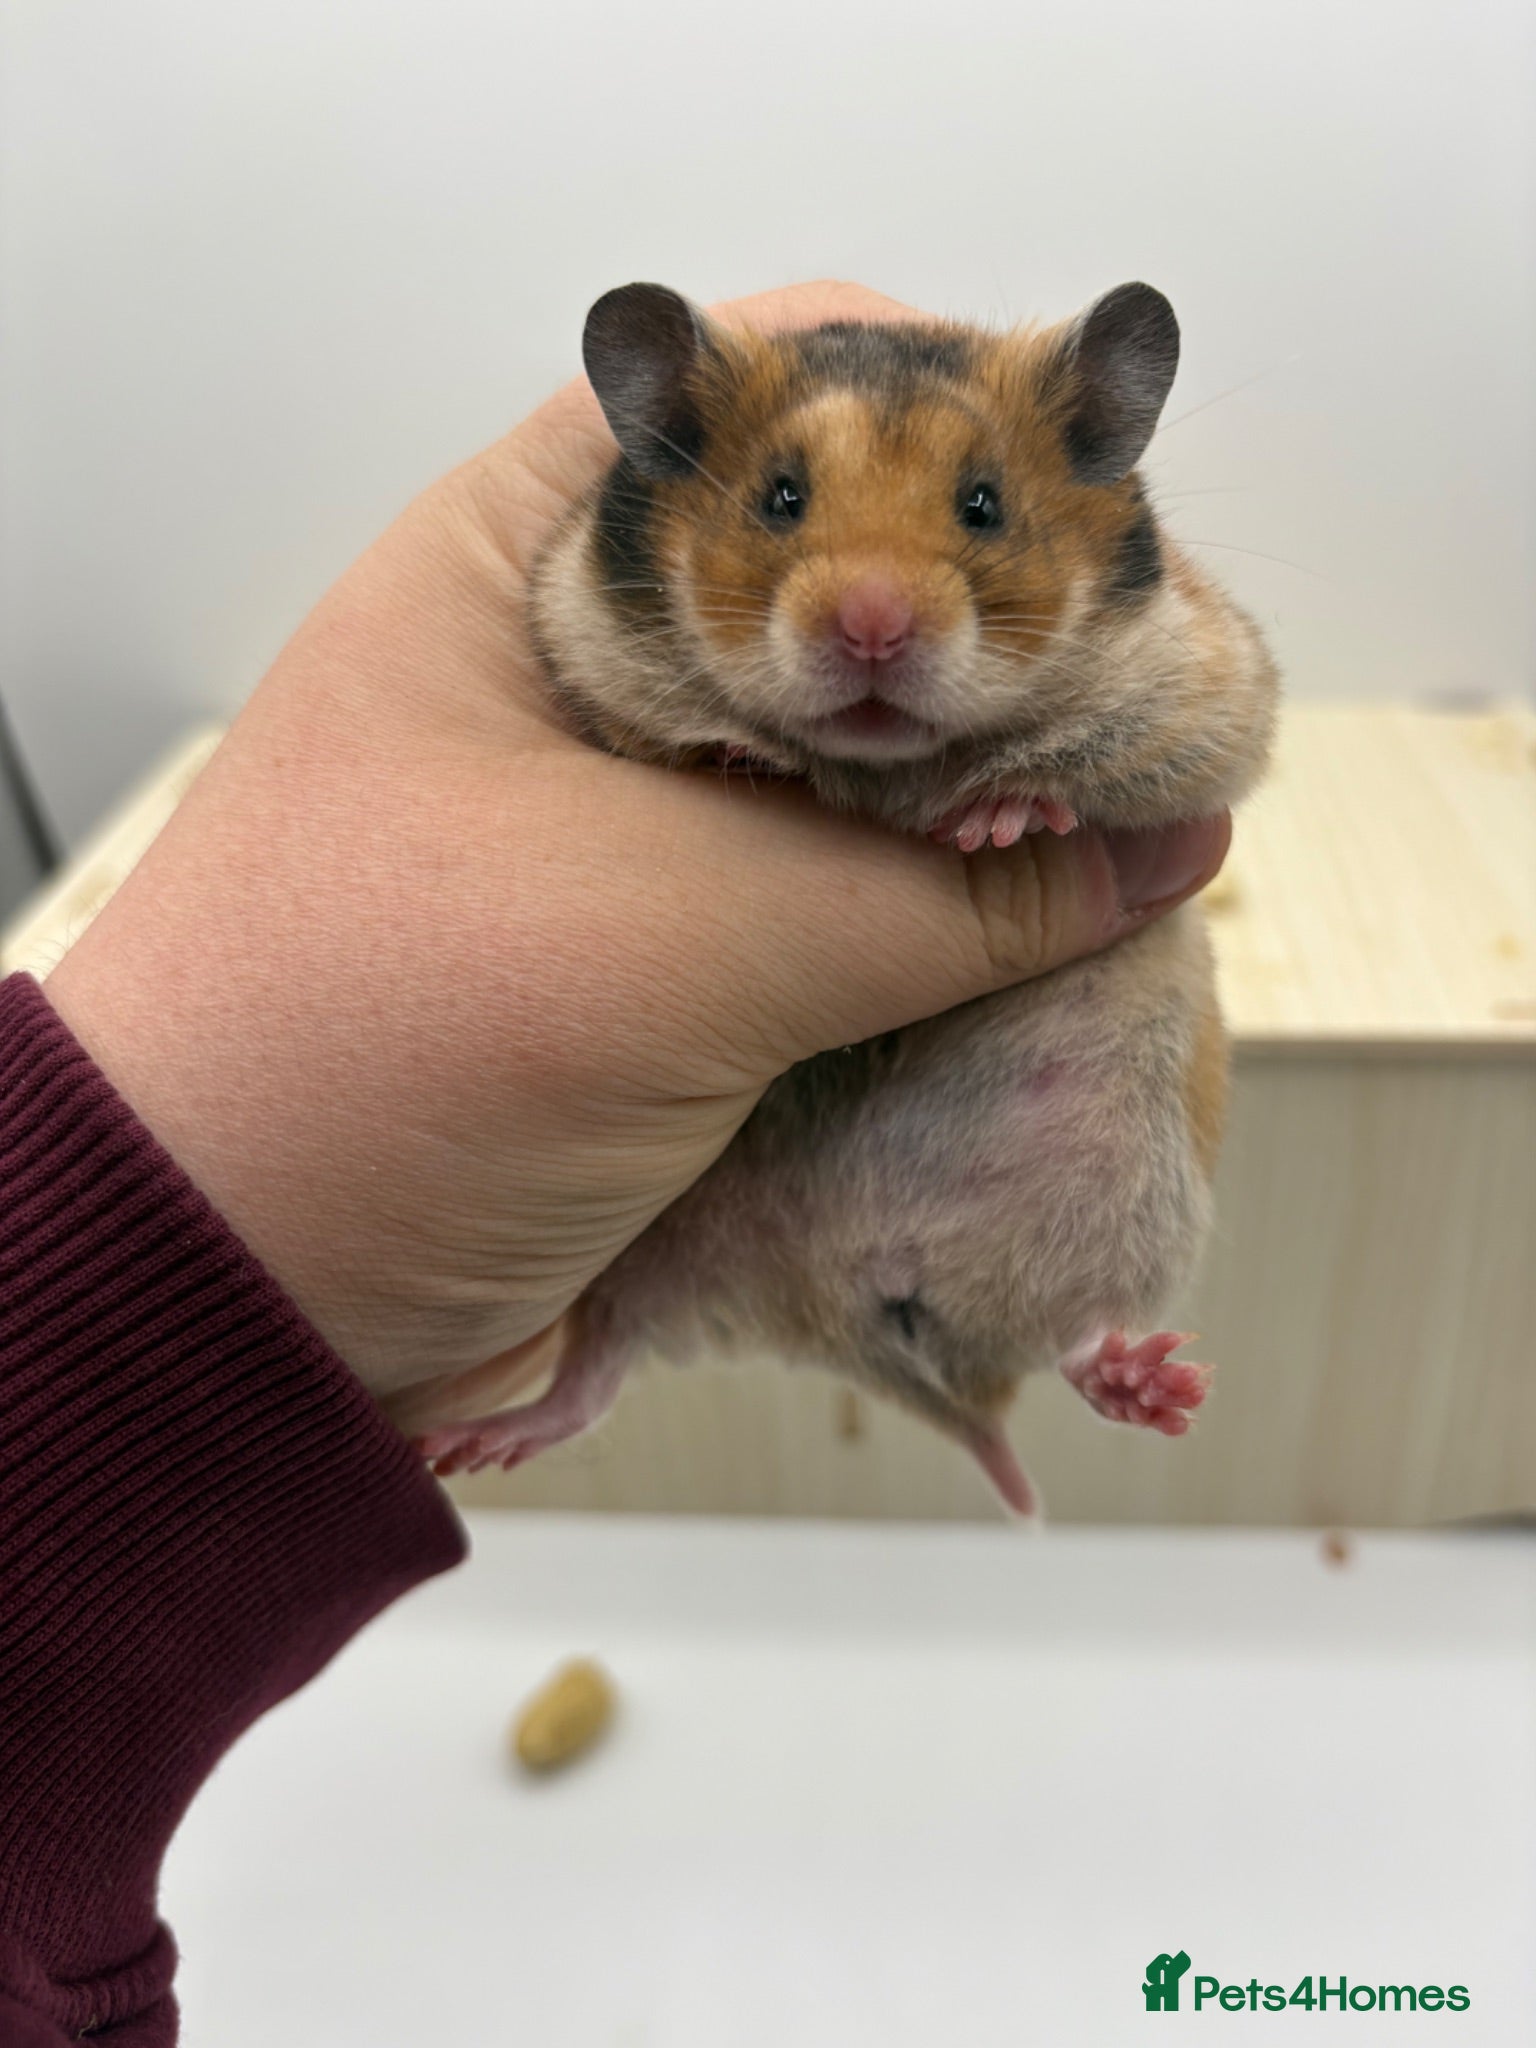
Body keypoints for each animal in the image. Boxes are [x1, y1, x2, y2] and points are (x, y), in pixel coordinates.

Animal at [420, 281, 1279, 1514]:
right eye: (781, 496)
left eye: (983, 505)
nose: (872, 624)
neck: (881, 769)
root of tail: (846, 1310)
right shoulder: (578, 644)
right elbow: (673, 733)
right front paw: (742, 758)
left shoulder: (1212, 701)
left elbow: (1081, 770)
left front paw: (1000, 819)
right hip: (628, 1248)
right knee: (593, 1366)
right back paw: (474, 1443)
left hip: (1126, 1190)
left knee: (1070, 1335)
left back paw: (1153, 1387)